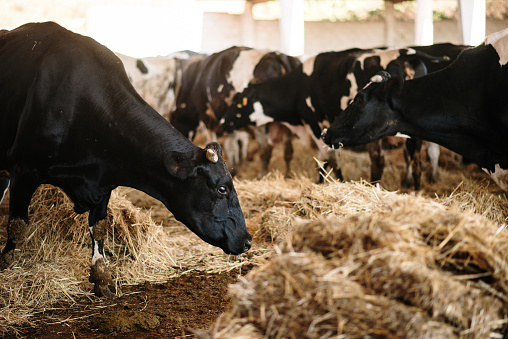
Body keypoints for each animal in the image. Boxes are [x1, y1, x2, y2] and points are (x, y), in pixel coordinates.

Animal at [0, 21, 253, 298]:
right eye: (222, 189)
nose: (248, 240)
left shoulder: (104, 180)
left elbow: (98, 227)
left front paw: (101, 277)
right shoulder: (24, 170)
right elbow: (17, 225)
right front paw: (7, 265)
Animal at [220, 47, 446, 186]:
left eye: (238, 103)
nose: (222, 123)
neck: (299, 86)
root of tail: (407, 53)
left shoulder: (316, 125)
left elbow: (326, 160)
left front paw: (329, 183)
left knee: (379, 162)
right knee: (416, 162)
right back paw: (415, 191)